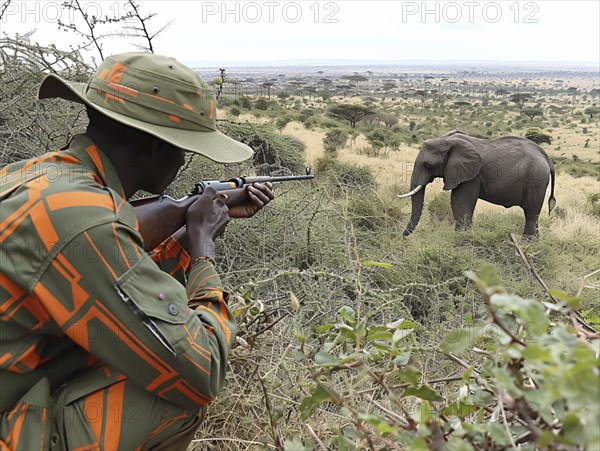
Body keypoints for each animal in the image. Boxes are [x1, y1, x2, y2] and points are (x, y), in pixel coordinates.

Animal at [398, 132, 556, 238]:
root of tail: (547, 158)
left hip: (536, 180)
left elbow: (460, 203)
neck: (447, 140)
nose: (402, 237)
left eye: (429, 165)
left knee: (531, 215)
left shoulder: (471, 176)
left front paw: (461, 239)